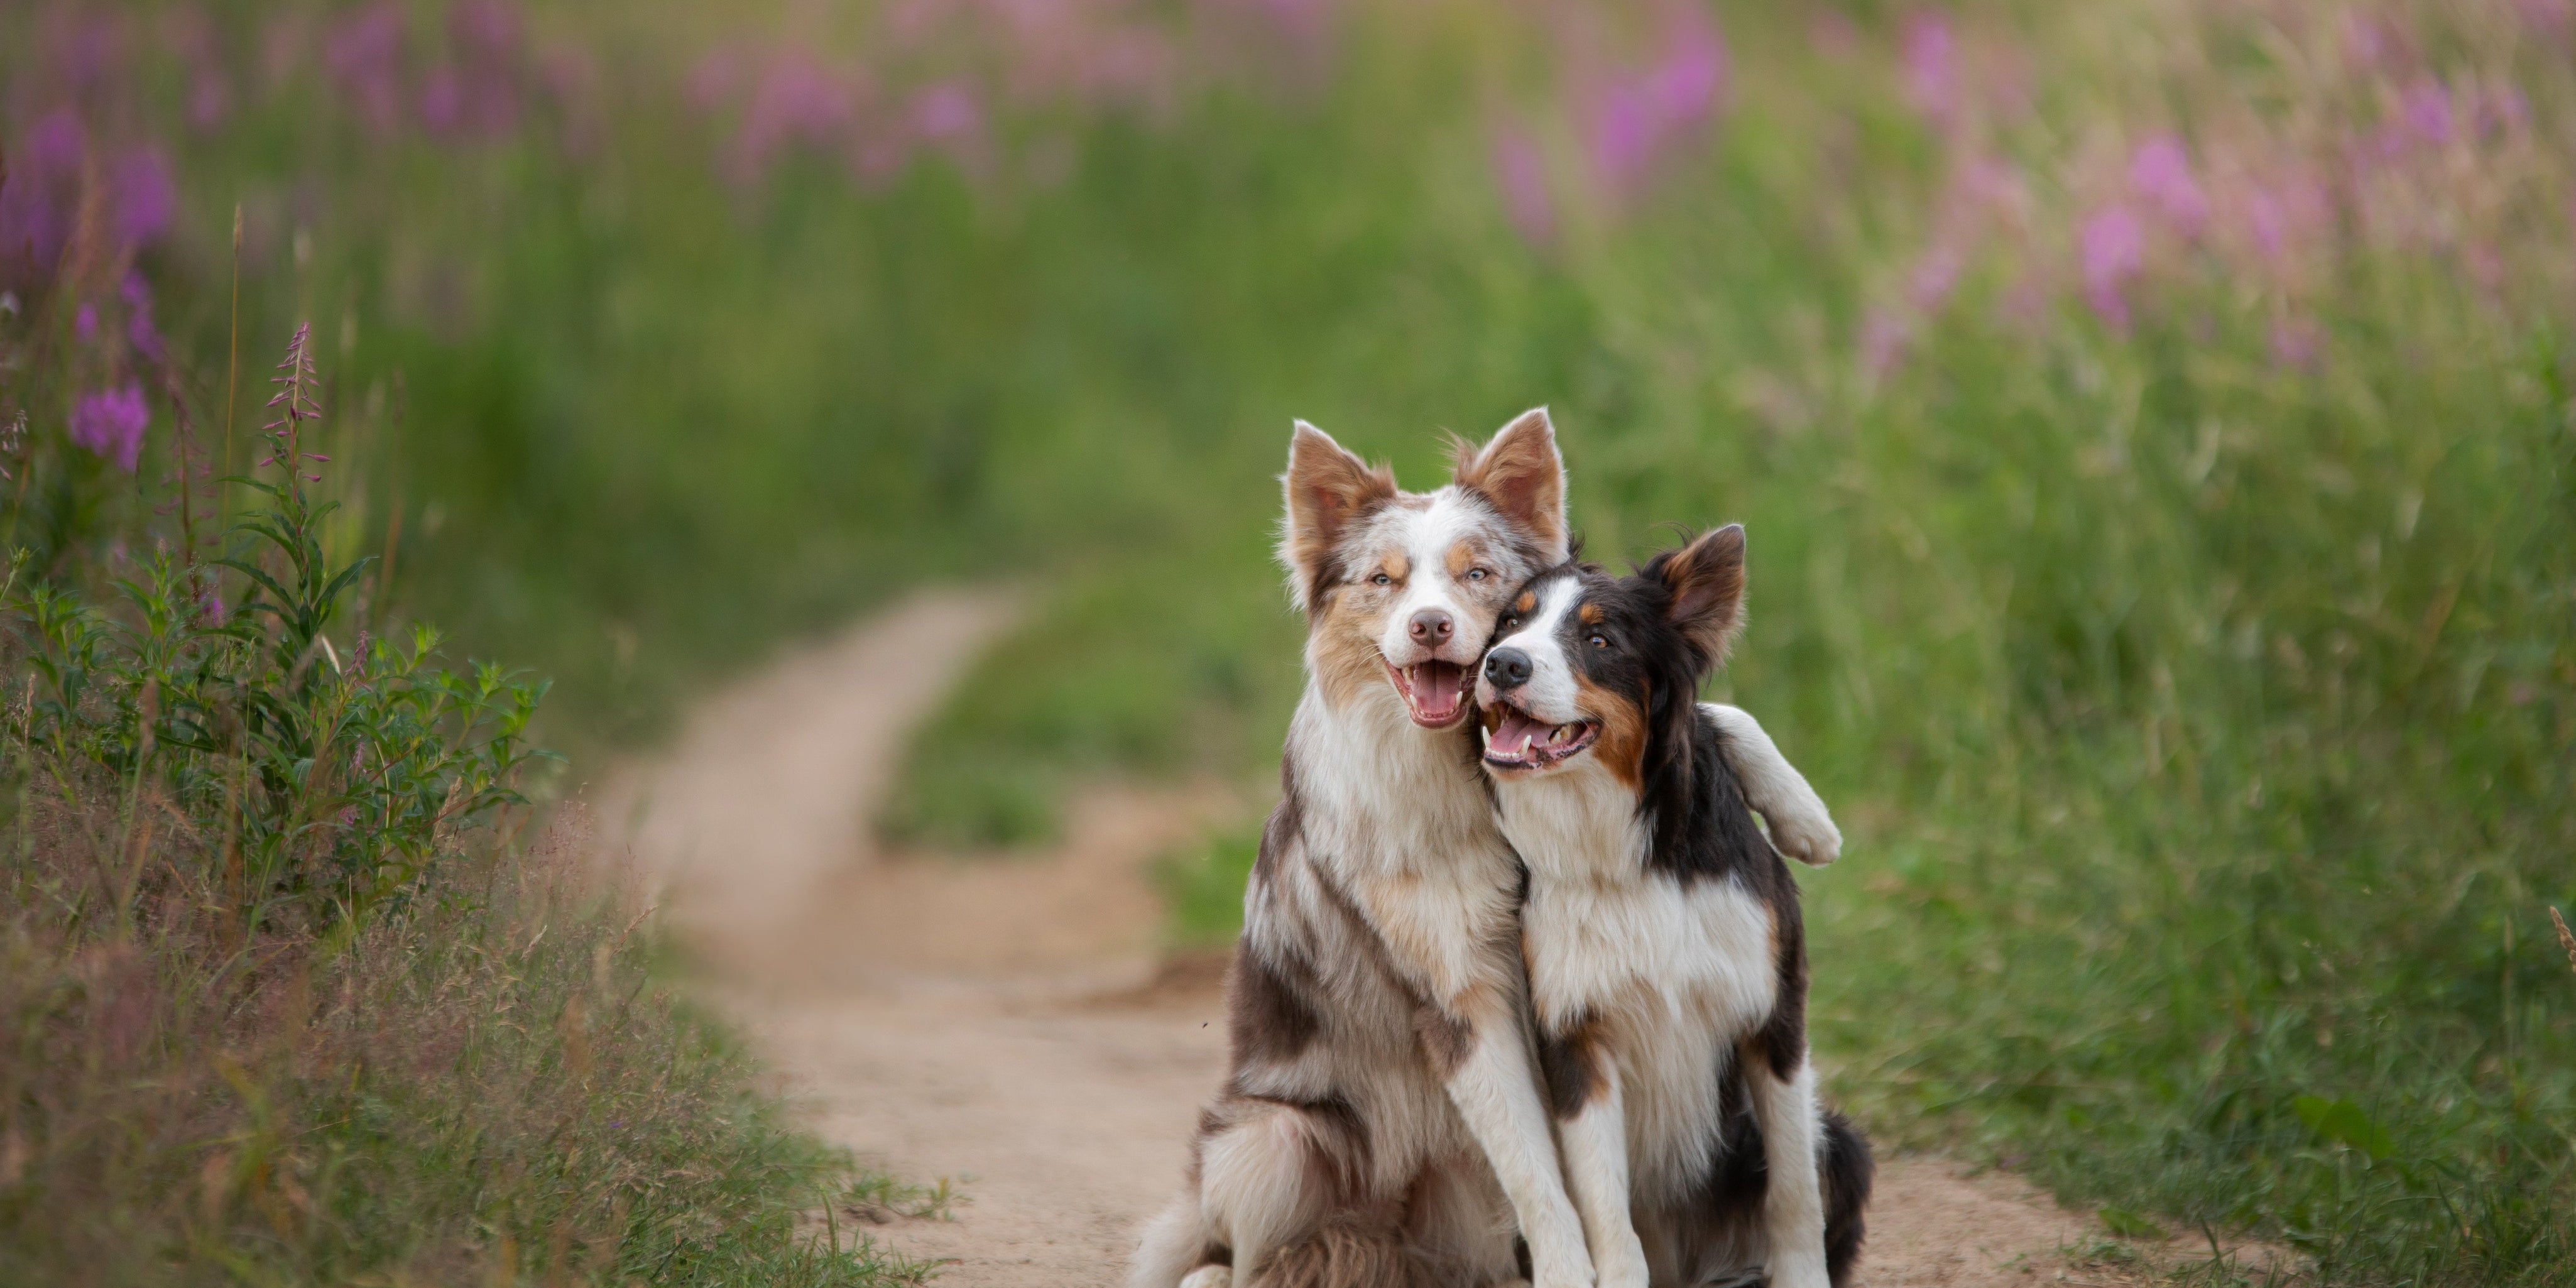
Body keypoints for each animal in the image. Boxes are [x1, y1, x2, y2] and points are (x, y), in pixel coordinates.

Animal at [1133, 409, 1597, 1288]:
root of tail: (1379, 1245)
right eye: (1383, 581)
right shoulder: (1459, 993)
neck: (1467, 775)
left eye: (1477, 573)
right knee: (1236, 1262)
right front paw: (1572, 1270)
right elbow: (1534, 1163)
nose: (1429, 625)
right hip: (1272, 1142)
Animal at [1473, 525, 1875, 1288]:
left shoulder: (1773, 1012)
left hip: (1843, 1143)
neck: (1624, 852)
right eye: (1510, 622)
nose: (1501, 664)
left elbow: (1793, 1191)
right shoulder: (1576, 1037)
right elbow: (1606, 1213)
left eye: (1599, 639)